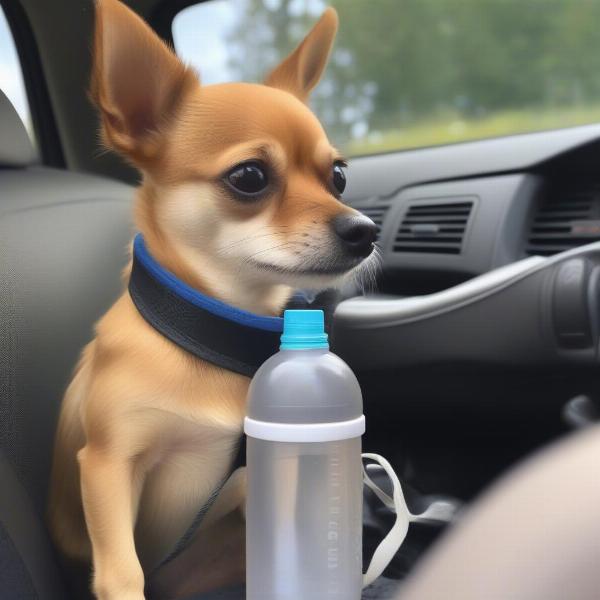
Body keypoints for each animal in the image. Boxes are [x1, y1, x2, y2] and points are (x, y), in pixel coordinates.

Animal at [49, 0, 380, 596]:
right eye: (249, 176)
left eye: (338, 177)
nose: (365, 230)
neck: (211, 330)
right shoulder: (109, 466)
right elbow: (122, 572)